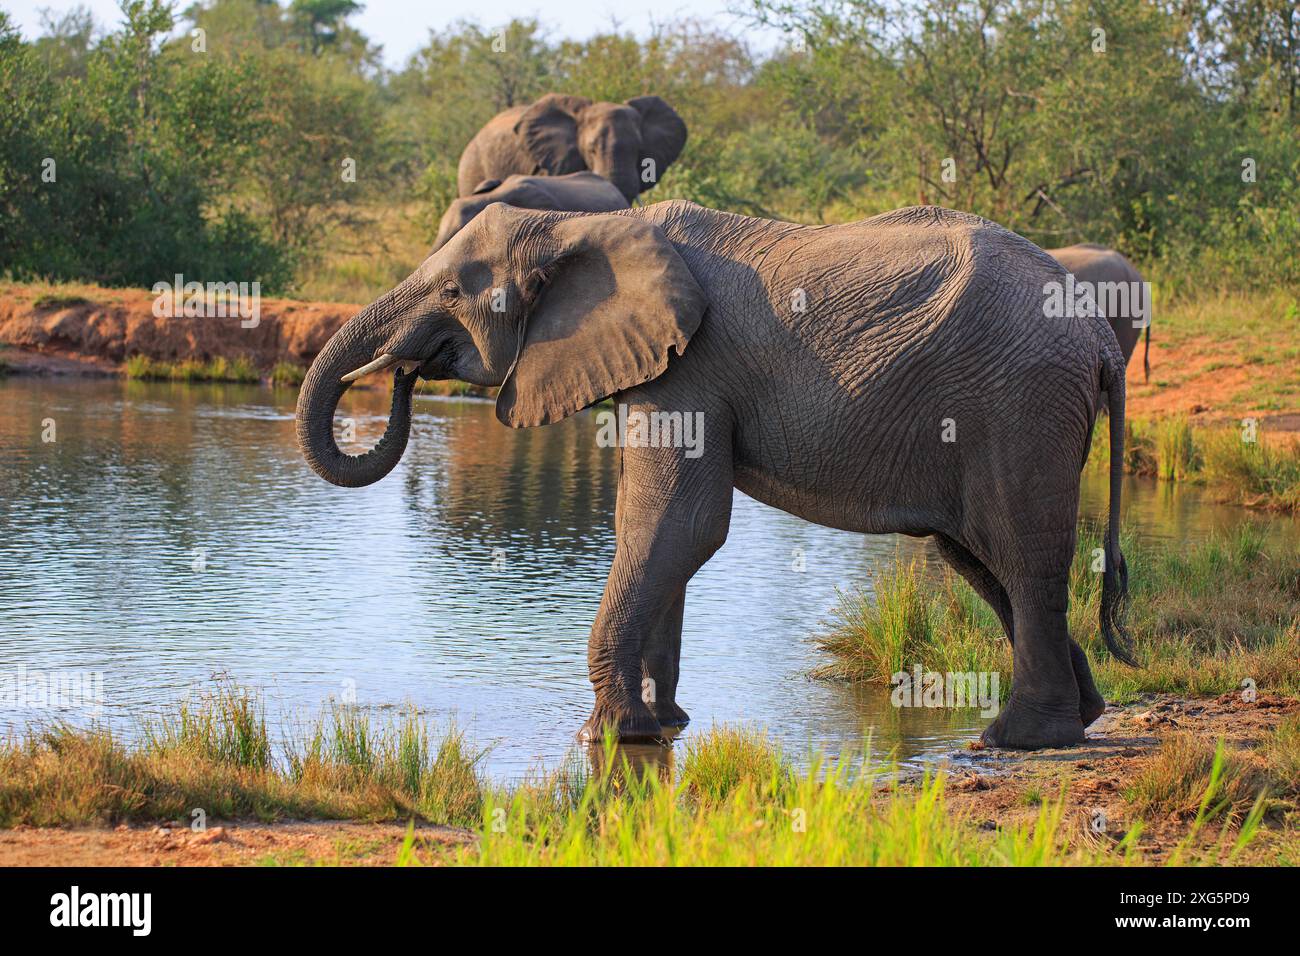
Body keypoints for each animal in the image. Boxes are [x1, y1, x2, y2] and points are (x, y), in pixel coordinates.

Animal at [299, 204, 1133, 754]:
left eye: (454, 292)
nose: (405, 370)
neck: (578, 224)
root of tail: (1099, 334)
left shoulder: (691, 366)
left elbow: (677, 523)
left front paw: (609, 735)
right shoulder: (657, 367)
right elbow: (652, 526)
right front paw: (662, 726)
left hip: (1020, 403)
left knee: (1019, 549)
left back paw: (1016, 741)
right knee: (977, 554)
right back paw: (1080, 716)